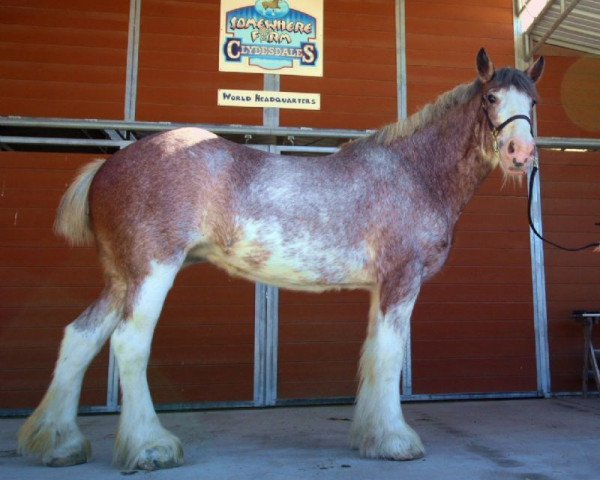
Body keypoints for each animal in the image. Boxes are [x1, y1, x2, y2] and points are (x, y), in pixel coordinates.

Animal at [17, 48, 544, 468]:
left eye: (533, 103)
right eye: (491, 98)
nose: (520, 153)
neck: (412, 172)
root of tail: (108, 166)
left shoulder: (380, 289)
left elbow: (372, 355)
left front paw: (371, 437)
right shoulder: (401, 280)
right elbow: (390, 356)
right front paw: (397, 441)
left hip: (122, 278)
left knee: (80, 337)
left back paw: (57, 443)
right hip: (152, 270)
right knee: (129, 342)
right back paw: (150, 447)